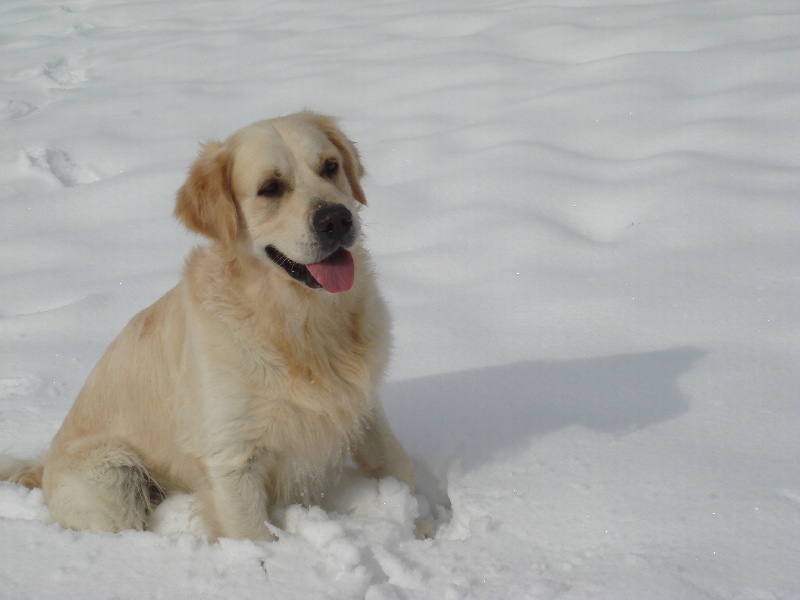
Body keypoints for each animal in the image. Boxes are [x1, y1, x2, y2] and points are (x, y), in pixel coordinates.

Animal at [0, 110, 412, 540]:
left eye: (330, 166)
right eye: (270, 188)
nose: (336, 219)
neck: (299, 323)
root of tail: (44, 467)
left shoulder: (361, 407)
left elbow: (397, 464)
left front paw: (425, 522)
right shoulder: (231, 455)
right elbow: (253, 536)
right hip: (114, 481)